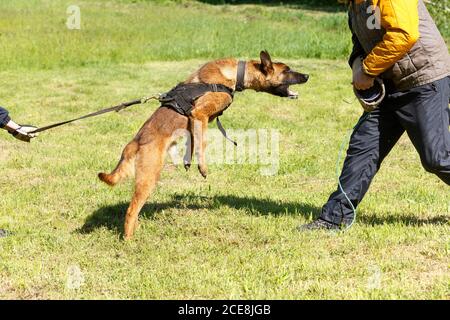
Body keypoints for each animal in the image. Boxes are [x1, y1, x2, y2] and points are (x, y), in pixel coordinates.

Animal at [98, 51, 310, 239]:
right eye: (287, 70)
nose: (307, 76)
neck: (236, 74)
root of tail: (134, 143)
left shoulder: (195, 121)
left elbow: (193, 141)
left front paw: (189, 161)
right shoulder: (200, 114)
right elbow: (202, 143)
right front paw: (202, 167)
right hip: (149, 178)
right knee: (131, 210)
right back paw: (128, 239)